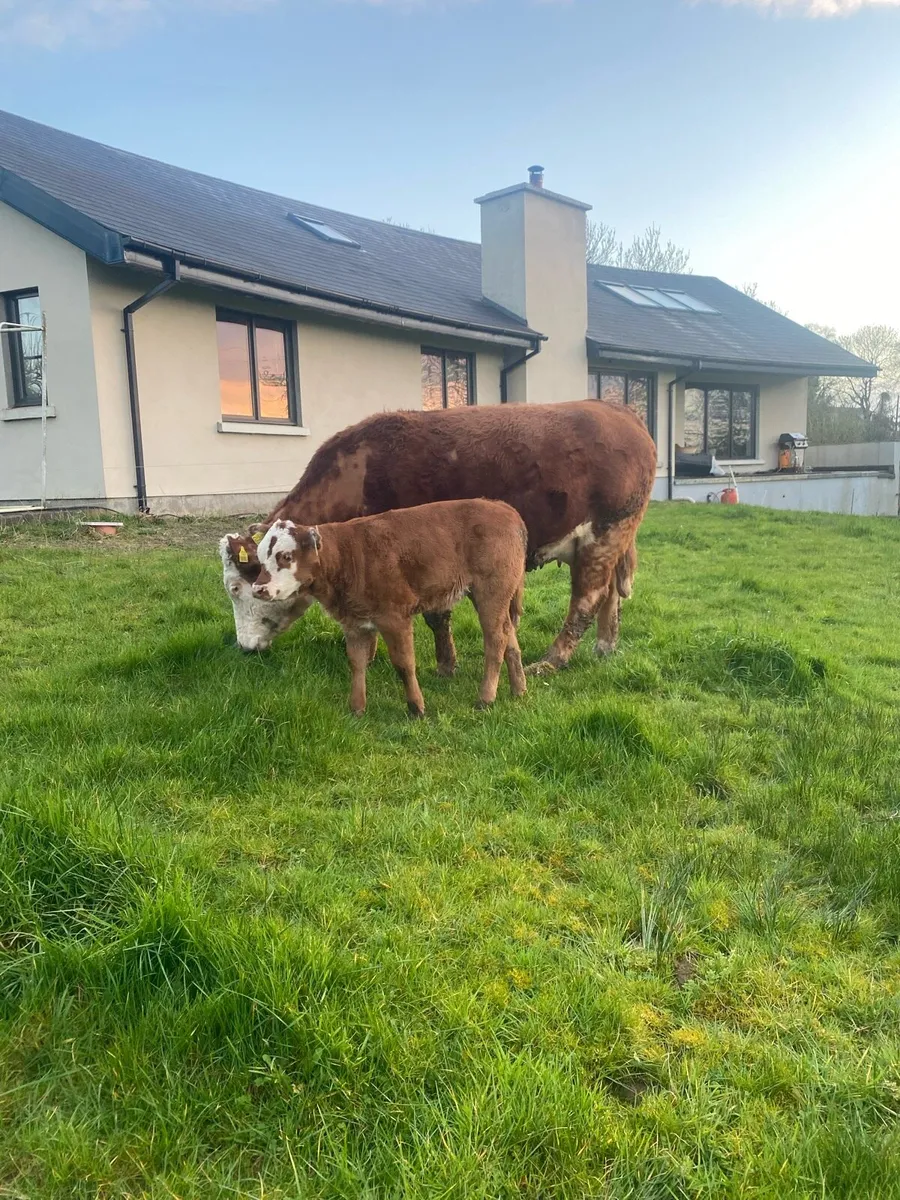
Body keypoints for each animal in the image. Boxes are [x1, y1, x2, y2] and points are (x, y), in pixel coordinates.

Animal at [221, 399, 656, 673]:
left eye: (237, 589)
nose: (243, 647)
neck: (361, 473)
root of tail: (618, 411)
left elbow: (436, 615)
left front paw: (446, 665)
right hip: (606, 540)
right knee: (610, 594)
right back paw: (605, 647)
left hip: (606, 530)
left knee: (587, 598)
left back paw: (552, 660)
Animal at [251, 500, 528, 717]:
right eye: (261, 557)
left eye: (286, 556)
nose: (258, 589)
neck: (347, 557)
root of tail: (504, 508)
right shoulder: (354, 623)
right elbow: (357, 662)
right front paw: (357, 708)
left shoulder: (395, 617)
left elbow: (404, 664)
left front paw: (416, 707)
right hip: (494, 593)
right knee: (509, 633)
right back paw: (518, 689)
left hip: (491, 589)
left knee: (495, 638)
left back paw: (486, 697)